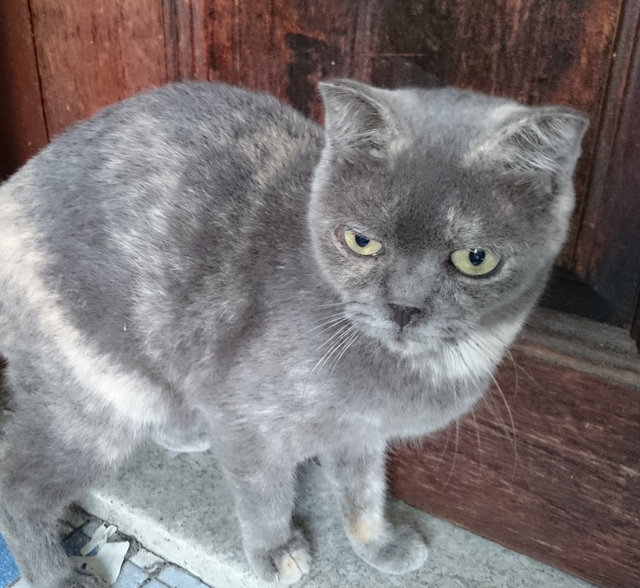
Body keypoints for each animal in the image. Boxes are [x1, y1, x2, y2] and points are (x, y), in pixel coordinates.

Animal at [0, 77, 588, 584]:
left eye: (475, 259)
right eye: (361, 241)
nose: (404, 306)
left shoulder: (360, 432)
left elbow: (363, 490)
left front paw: (379, 545)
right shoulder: (246, 417)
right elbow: (264, 492)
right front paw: (276, 551)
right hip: (95, 398)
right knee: (18, 483)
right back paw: (57, 576)